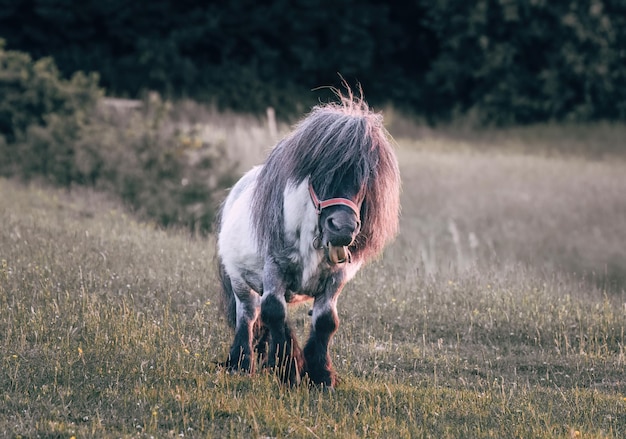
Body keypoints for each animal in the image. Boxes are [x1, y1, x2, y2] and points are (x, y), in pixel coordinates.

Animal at [217, 89, 398, 388]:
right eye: (323, 173)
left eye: (365, 176)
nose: (343, 228)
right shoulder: (274, 267)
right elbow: (273, 311)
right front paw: (288, 371)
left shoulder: (335, 278)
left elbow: (326, 321)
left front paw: (321, 375)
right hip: (240, 282)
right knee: (248, 315)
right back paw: (240, 363)